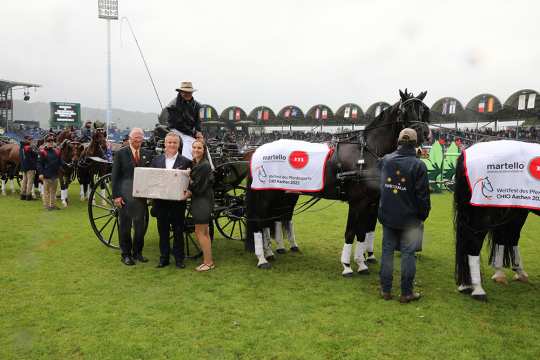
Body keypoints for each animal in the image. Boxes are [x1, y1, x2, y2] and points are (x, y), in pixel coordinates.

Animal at [247, 90, 432, 270]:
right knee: (259, 220)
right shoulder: (357, 202)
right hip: (265, 195)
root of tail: (258, 150)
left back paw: (272, 251)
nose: (423, 133)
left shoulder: (372, 202)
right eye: (405, 111)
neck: (367, 153)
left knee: (274, 219)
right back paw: (262, 258)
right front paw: (347, 265)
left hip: (285, 194)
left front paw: (363, 261)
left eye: (423, 111)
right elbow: (351, 232)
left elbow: (365, 231)